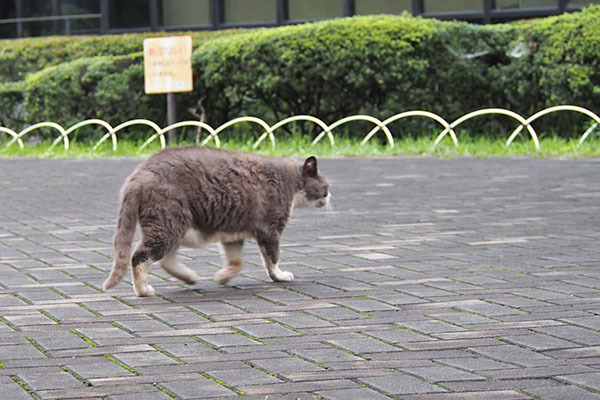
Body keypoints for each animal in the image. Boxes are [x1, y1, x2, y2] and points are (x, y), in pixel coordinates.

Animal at [101, 145, 330, 296]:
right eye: (326, 187)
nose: (330, 196)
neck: (288, 181)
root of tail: (139, 174)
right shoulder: (270, 228)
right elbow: (272, 258)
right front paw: (280, 276)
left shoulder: (233, 232)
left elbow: (236, 261)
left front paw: (223, 276)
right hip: (169, 224)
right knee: (139, 257)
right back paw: (144, 290)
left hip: (177, 227)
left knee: (165, 258)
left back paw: (189, 277)